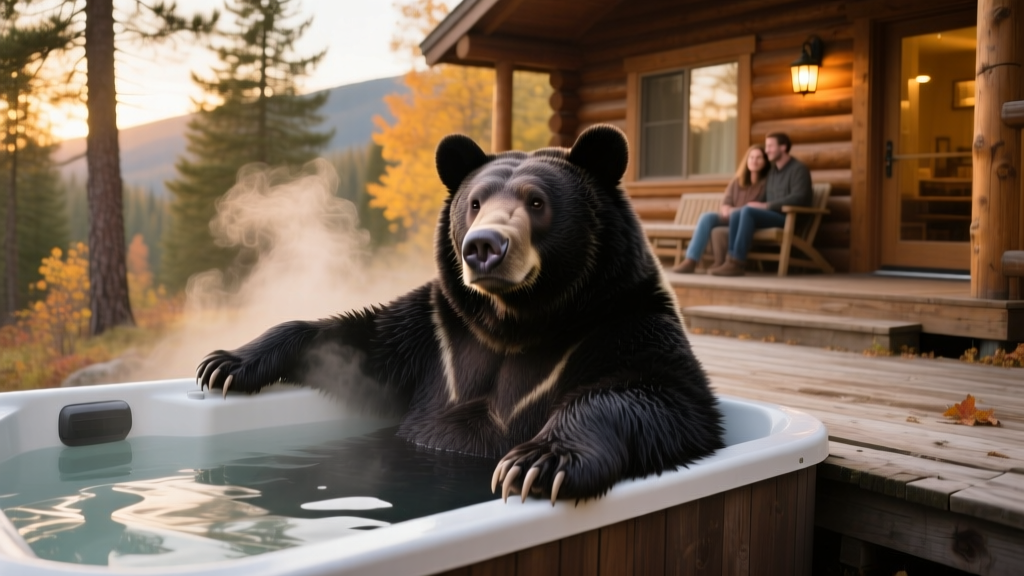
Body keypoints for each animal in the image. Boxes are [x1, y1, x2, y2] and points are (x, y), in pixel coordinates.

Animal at [196, 125, 724, 503]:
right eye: (475, 203)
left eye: (537, 201)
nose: (484, 247)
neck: (516, 318)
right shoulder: (440, 333)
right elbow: (357, 341)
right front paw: (225, 364)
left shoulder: (620, 325)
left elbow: (658, 396)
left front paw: (536, 463)